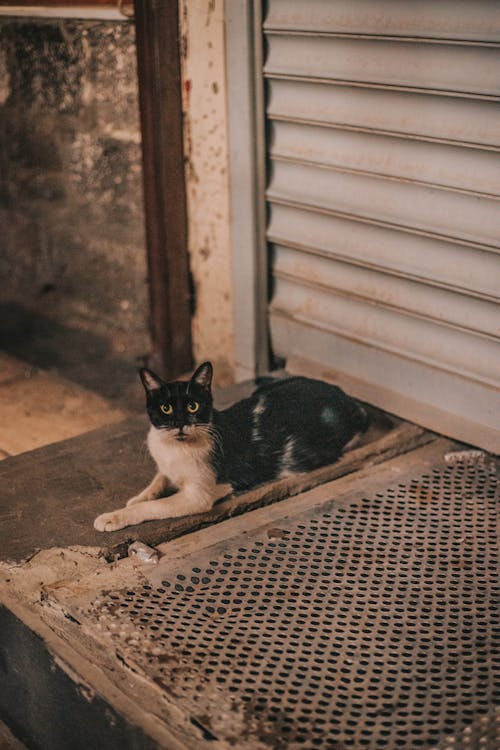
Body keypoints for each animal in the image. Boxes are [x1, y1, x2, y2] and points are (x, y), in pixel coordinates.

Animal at [94, 364, 368, 536]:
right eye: (166, 409)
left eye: (193, 406)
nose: (180, 422)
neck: (175, 448)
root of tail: (344, 395)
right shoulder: (166, 468)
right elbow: (157, 480)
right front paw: (138, 497)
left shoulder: (198, 495)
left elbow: (154, 507)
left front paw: (113, 517)